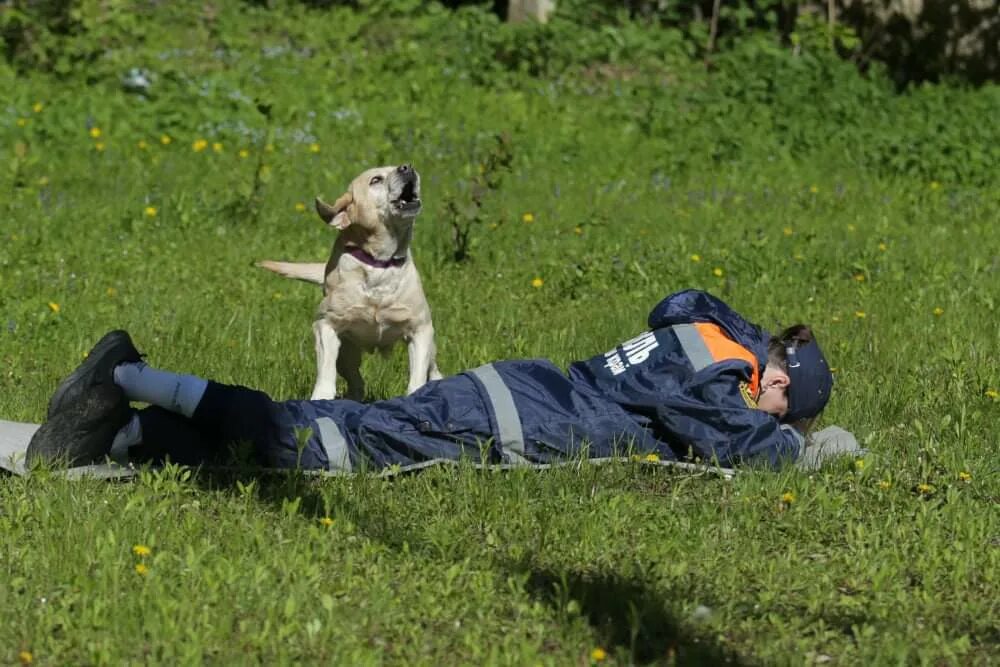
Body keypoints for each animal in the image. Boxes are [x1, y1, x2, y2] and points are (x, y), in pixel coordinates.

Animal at [258, 164, 442, 400]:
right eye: (376, 180)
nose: (407, 167)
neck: (379, 263)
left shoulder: (420, 329)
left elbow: (417, 378)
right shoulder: (326, 326)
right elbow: (326, 372)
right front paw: (321, 398)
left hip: (430, 345)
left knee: (433, 369)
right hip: (347, 355)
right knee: (356, 381)